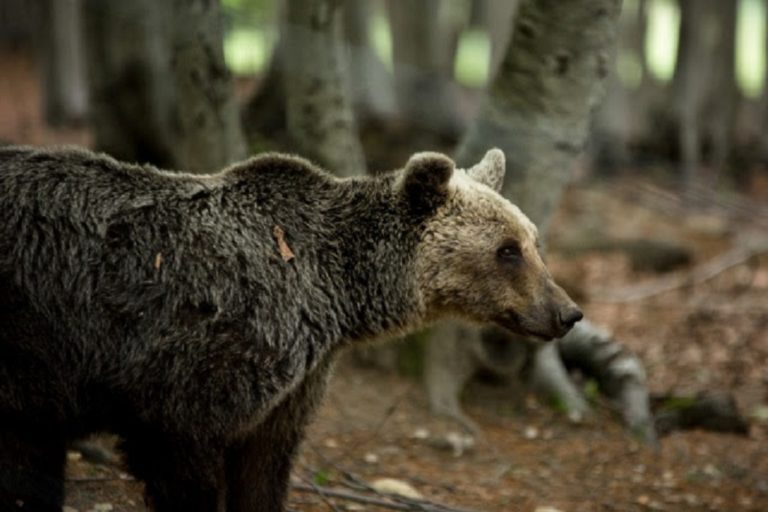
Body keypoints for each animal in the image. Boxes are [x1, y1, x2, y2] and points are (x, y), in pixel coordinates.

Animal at [0, 146, 576, 510]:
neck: (333, 292)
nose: (567, 312)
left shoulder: (294, 382)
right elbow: (181, 462)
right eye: (507, 250)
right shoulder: (196, 365)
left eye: (532, 240)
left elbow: (264, 469)